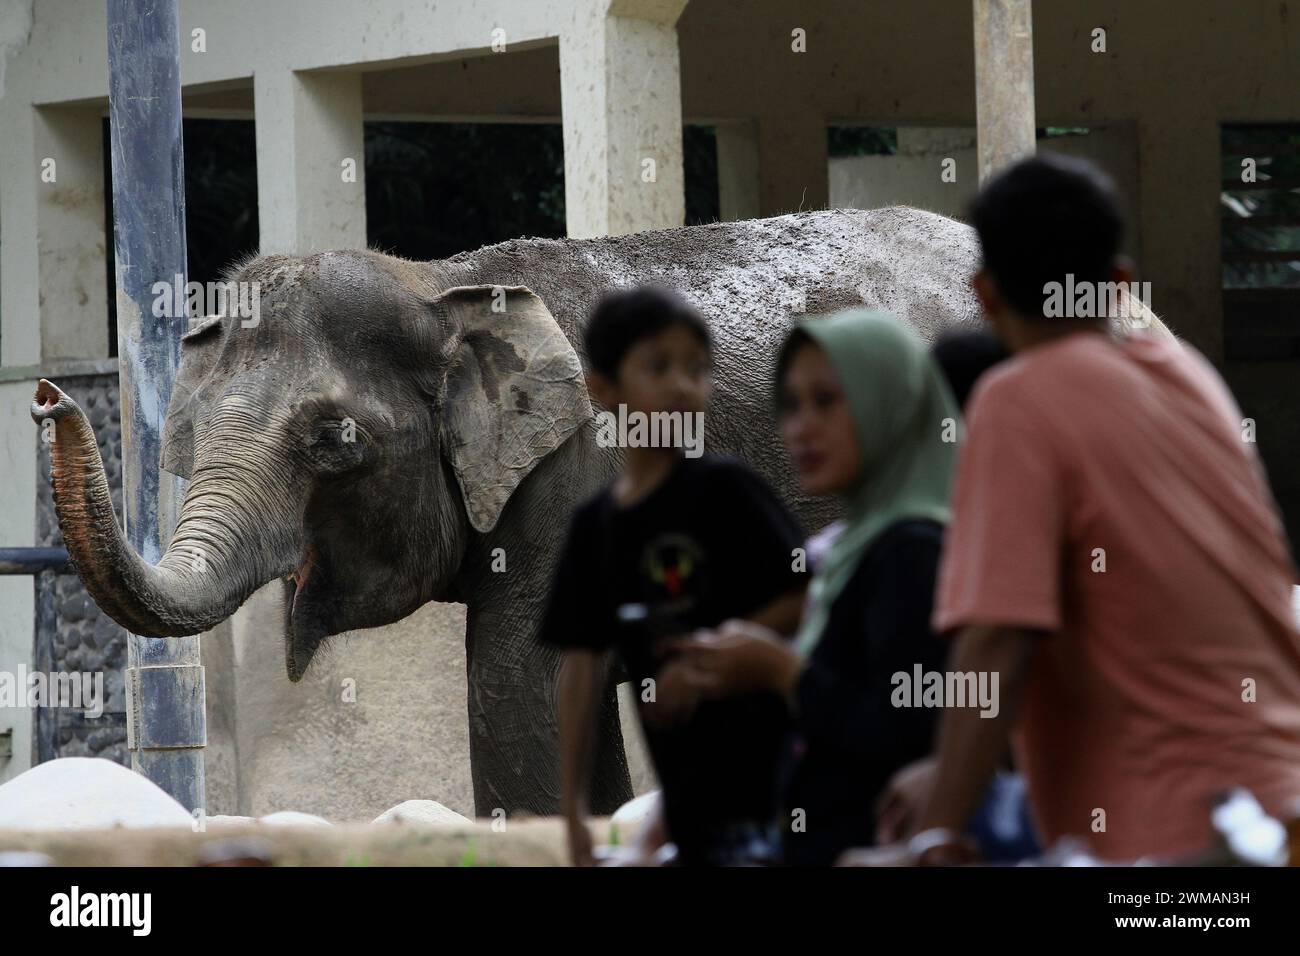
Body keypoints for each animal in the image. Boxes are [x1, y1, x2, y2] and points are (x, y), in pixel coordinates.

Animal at [32, 205, 1170, 816]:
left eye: (333, 441)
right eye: (184, 436)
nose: (43, 396)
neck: (444, 281)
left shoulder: (573, 469)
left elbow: (519, 681)